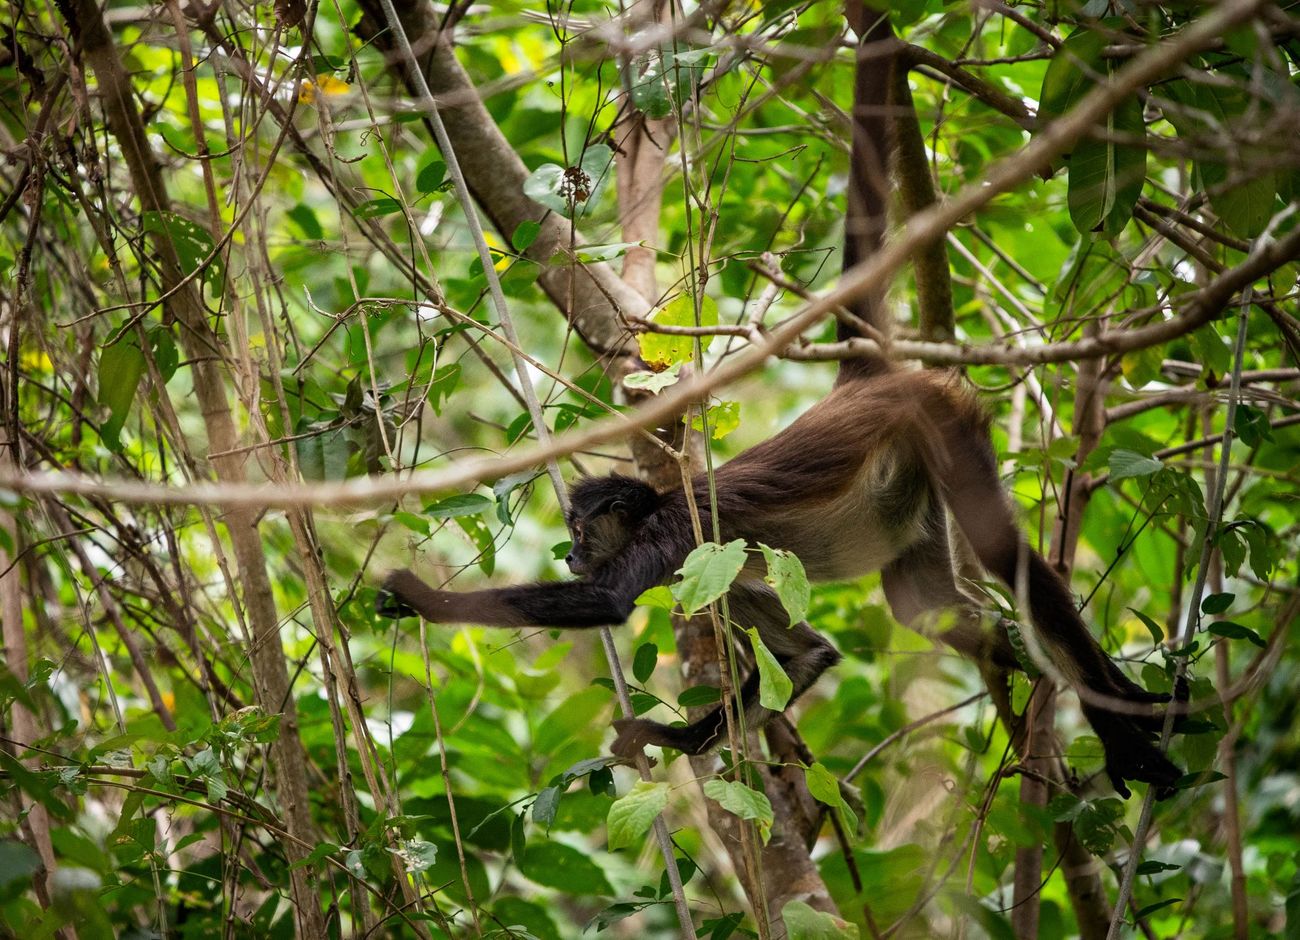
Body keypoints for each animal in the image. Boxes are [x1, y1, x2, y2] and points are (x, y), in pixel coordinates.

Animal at [374, 11, 1180, 795]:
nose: (570, 553)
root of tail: (861, 386)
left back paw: (1125, 722)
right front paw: (672, 738)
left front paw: (418, 596)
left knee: (1007, 558)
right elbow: (810, 658)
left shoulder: (679, 535)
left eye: (580, 530)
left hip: (942, 420)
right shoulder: (718, 578)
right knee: (922, 604)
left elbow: (610, 603)